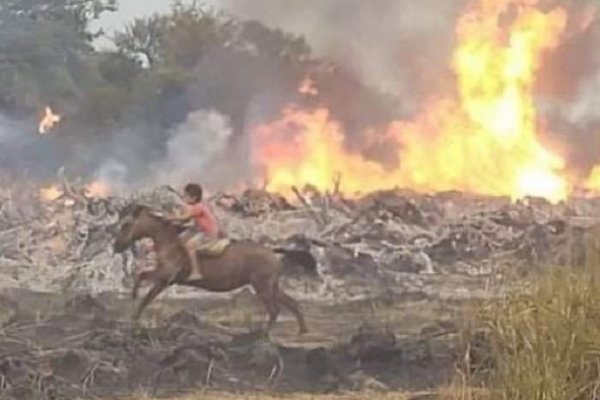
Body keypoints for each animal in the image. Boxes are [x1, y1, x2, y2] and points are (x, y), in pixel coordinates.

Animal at [112, 205, 312, 332]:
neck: (169, 243)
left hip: (262, 286)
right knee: (292, 304)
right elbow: (146, 298)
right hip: (272, 286)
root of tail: (273, 252)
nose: (116, 246)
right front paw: (134, 317)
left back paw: (264, 333)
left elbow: (141, 275)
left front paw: (133, 295)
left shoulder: (165, 275)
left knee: (274, 310)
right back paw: (302, 331)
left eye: (127, 224)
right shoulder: (163, 281)